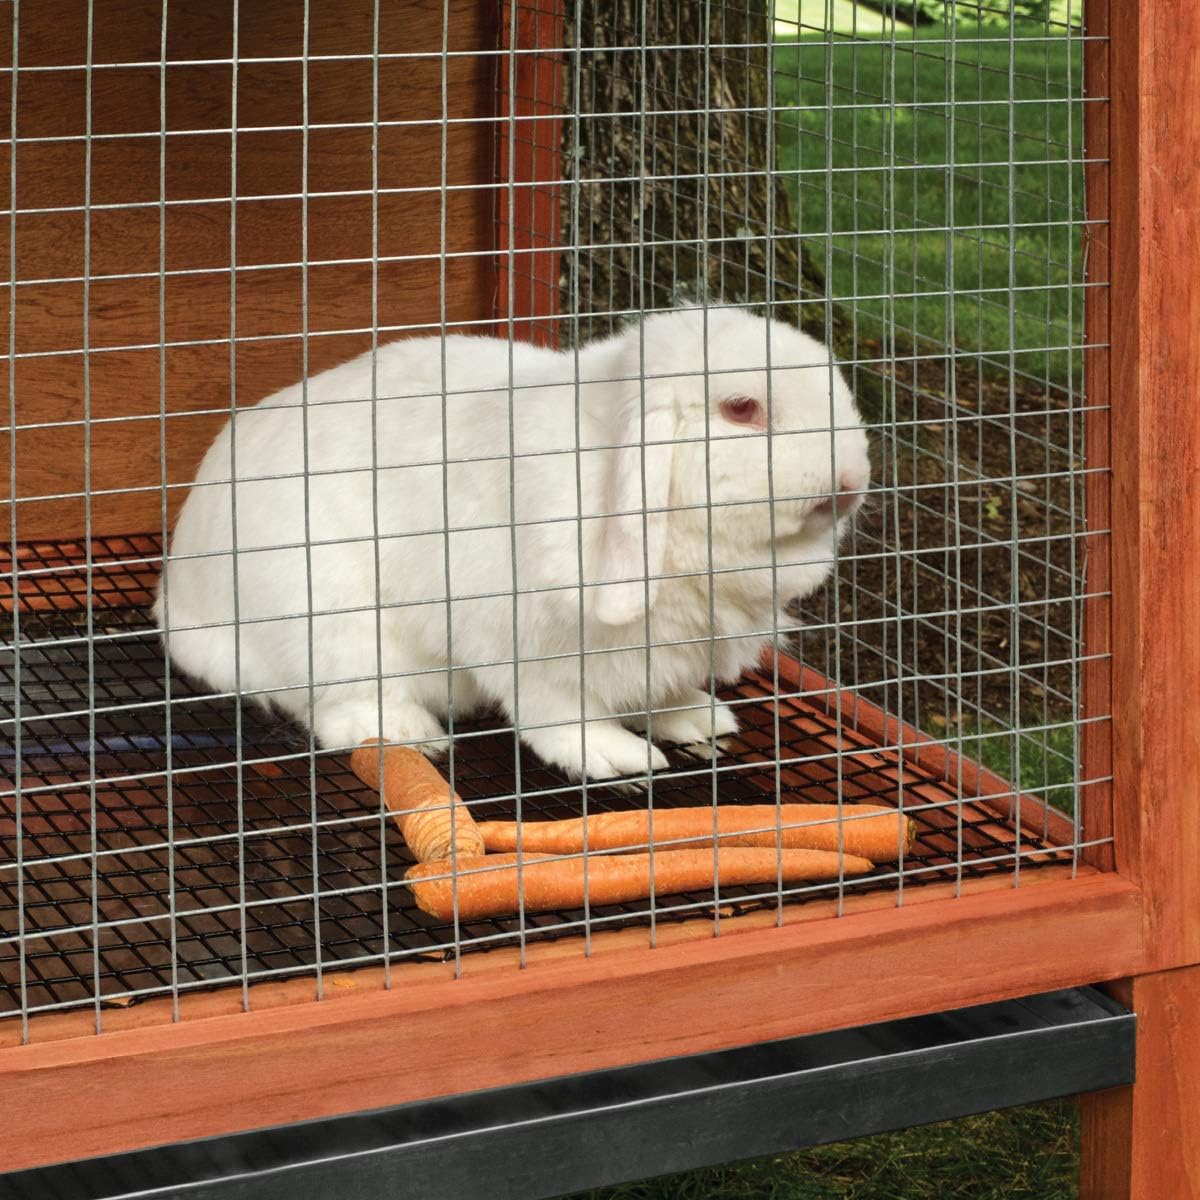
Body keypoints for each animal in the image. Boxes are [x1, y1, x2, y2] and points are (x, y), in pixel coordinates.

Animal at [155, 306, 871, 781]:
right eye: (741, 408)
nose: (849, 480)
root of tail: (179, 601)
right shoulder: (529, 646)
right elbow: (559, 713)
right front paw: (613, 757)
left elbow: (658, 694)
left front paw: (694, 716)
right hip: (330, 622)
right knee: (337, 707)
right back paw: (410, 733)